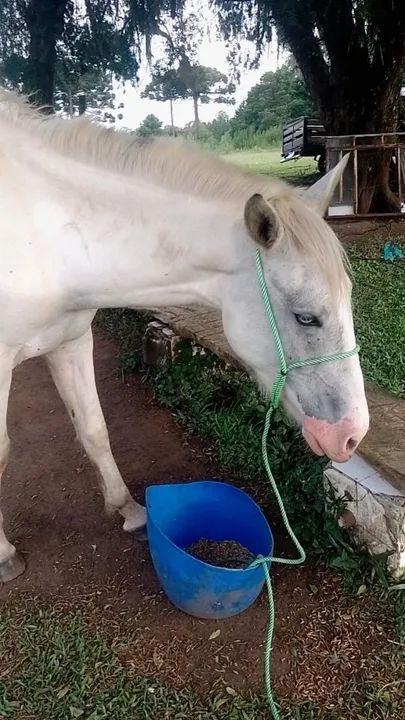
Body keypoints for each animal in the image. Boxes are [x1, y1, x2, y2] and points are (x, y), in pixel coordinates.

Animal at [0, 90, 369, 583]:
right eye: (306, 317)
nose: (352, 435)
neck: (46, 237)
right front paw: (4, 553)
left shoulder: (71, 341)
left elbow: (94, 427)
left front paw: (129, 511)